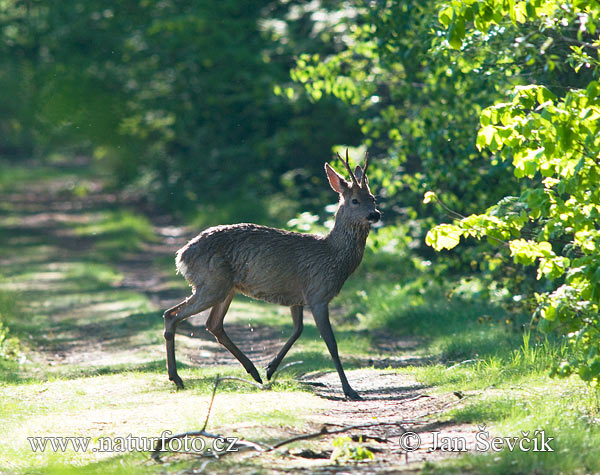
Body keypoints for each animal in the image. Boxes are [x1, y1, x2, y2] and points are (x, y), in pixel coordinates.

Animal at [164, 150, 380, 402]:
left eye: (373, 198)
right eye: (355, 200)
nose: (375, 214)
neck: (333, 257)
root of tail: (182, 255)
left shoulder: (298, 296)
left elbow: (297, 330)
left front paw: (270, 369)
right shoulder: (318, 293)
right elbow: (331, 344)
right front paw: (350, 390)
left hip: (225, 287)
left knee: (213, 324)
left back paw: (254, 372)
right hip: (212, 283)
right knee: (173, 315)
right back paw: (177, 378)